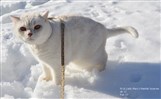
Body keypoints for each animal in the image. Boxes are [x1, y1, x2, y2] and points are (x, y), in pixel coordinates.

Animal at [10, 11, 138, 85]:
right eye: (22, 29)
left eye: (37, 27)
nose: (29, 34)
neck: (38, 47)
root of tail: (104, 28)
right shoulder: (44, 63)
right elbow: (46, 72)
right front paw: (46, 80)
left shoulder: (57, 65)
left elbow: (57, 78)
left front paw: (55, 86)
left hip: (87, 58)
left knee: (104, 57)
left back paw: (100, 71)